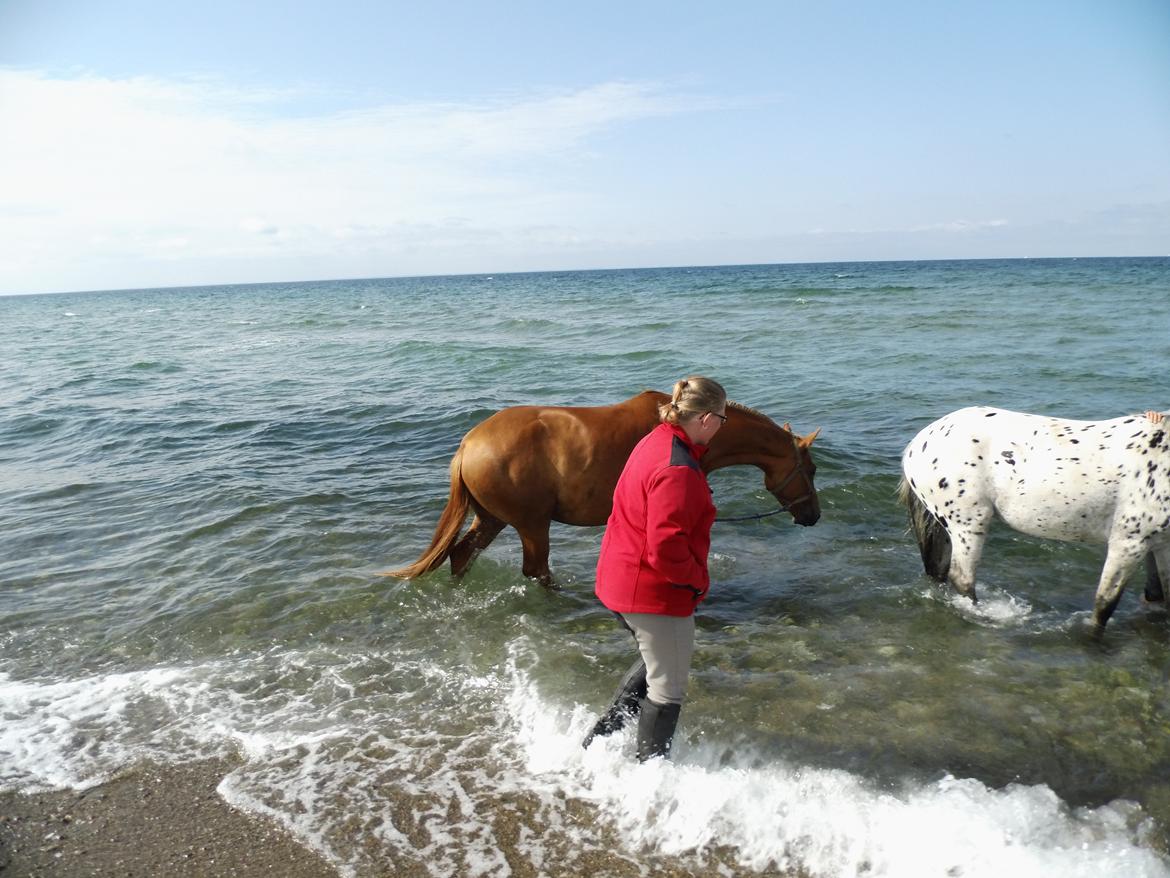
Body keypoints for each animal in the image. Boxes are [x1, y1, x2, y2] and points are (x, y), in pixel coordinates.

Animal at [386, 391, 823, 585]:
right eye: (813, 469)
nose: (814, 515)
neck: (678, 426)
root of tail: (468, 445)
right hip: (531, 524)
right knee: (536, 570)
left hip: (491, 518)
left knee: (462, 555)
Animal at [898, 409, 1165, 627]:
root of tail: (918, 443)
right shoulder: (1129, 543)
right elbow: (1104, 605)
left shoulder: (1158, 544)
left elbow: (1159, 593)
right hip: (968, 523)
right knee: (962, 578)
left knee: (939, 571)